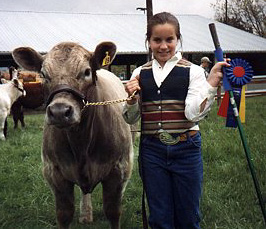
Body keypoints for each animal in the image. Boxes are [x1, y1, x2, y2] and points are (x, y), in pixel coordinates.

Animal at [11, 41, 133, 229]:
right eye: (43, 74)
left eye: (87, 71)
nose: (60, 112)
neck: (81, 142)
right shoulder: (54, 173)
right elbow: (64, 214)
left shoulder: (118, 169)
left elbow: (113, 211)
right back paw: (86, 215)